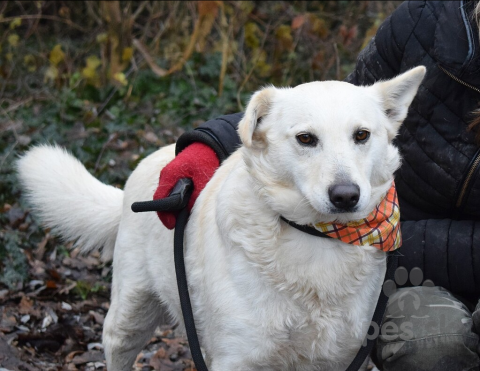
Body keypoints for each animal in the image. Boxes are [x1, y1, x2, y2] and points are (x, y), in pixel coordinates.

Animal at [16, 65, 426, 370]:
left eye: (362, 135)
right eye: (306, 139)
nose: (345, 196)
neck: (316, 237)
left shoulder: (339, 358)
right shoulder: (236, 358)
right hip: (129, 317)